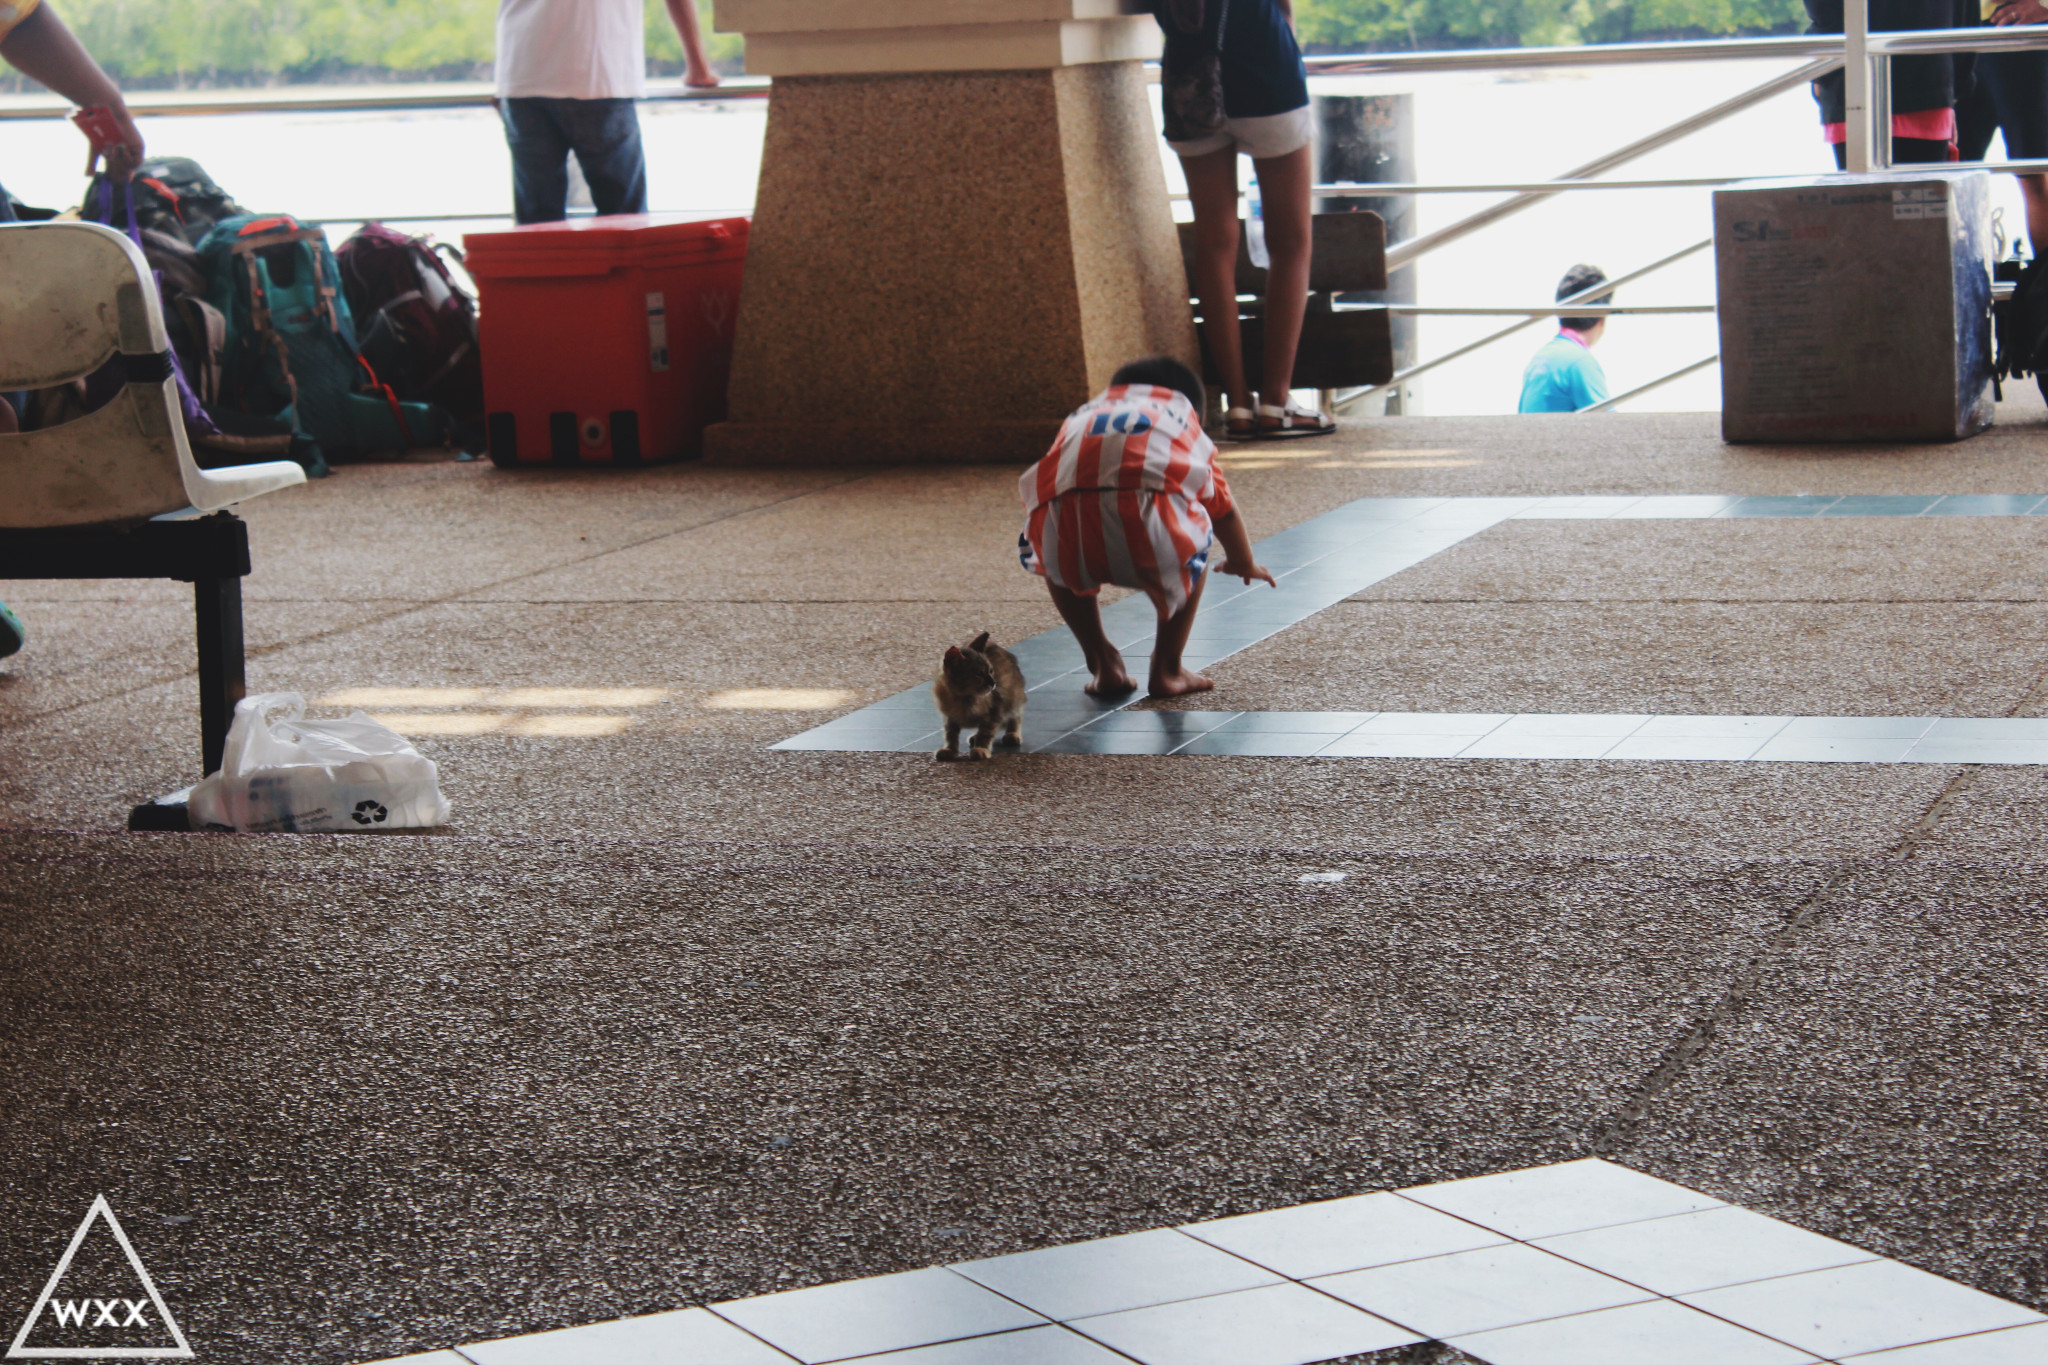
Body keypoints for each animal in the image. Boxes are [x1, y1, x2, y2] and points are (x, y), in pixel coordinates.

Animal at [933, 634, 1024, 765]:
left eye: (991, 671)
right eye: (979, 673)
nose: (993, 683)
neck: (964, 698)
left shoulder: (995, 710)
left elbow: (985, 733)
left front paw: (981, 748)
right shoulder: (949, 716)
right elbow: (950, 734)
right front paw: (950, 749)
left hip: (1013, 697)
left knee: (1015, 716)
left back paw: (1012, 734)